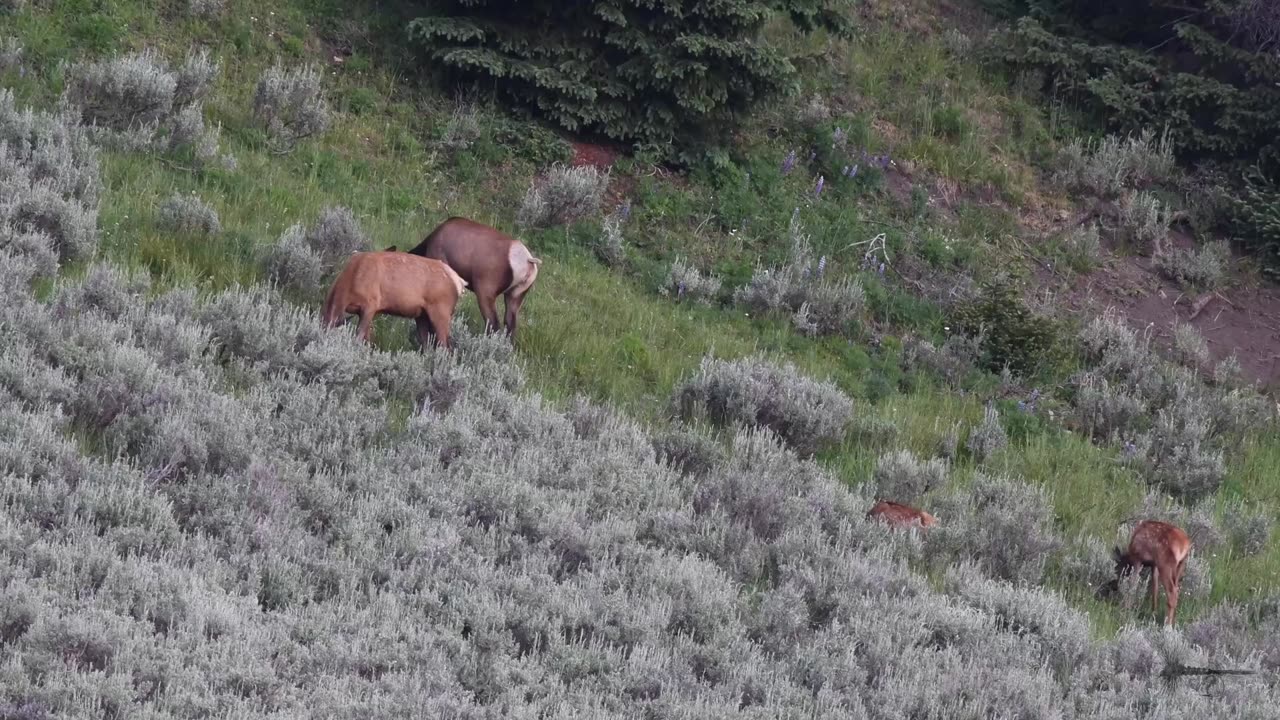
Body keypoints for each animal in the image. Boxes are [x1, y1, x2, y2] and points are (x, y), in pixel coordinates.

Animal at [320, 249, 471, 348]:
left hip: (441, 311)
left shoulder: (371, 304)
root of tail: (459, 282)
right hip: (422, 315)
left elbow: (359, 336)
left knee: (445, 347)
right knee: (427, 345)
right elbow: (367, 339)